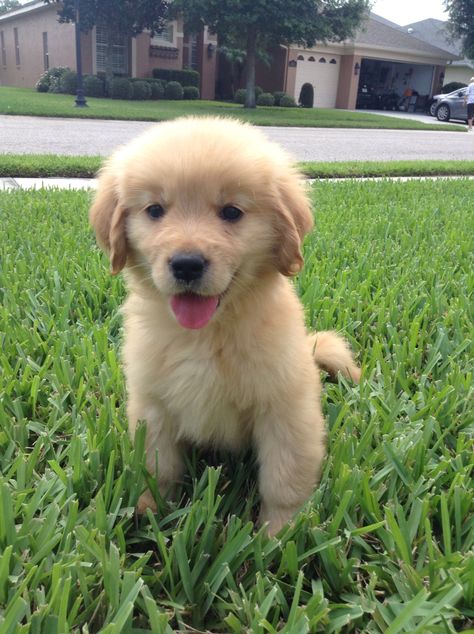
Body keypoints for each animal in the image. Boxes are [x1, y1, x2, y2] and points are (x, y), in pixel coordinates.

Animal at [90, 115, 362, 532]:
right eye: (155, 210)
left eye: (232, 212)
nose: (186, 265)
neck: (206, 335)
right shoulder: (154, 405)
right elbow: (158, 467)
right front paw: (150, 513)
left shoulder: (286, 409)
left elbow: (284, 479)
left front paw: (278, 534)